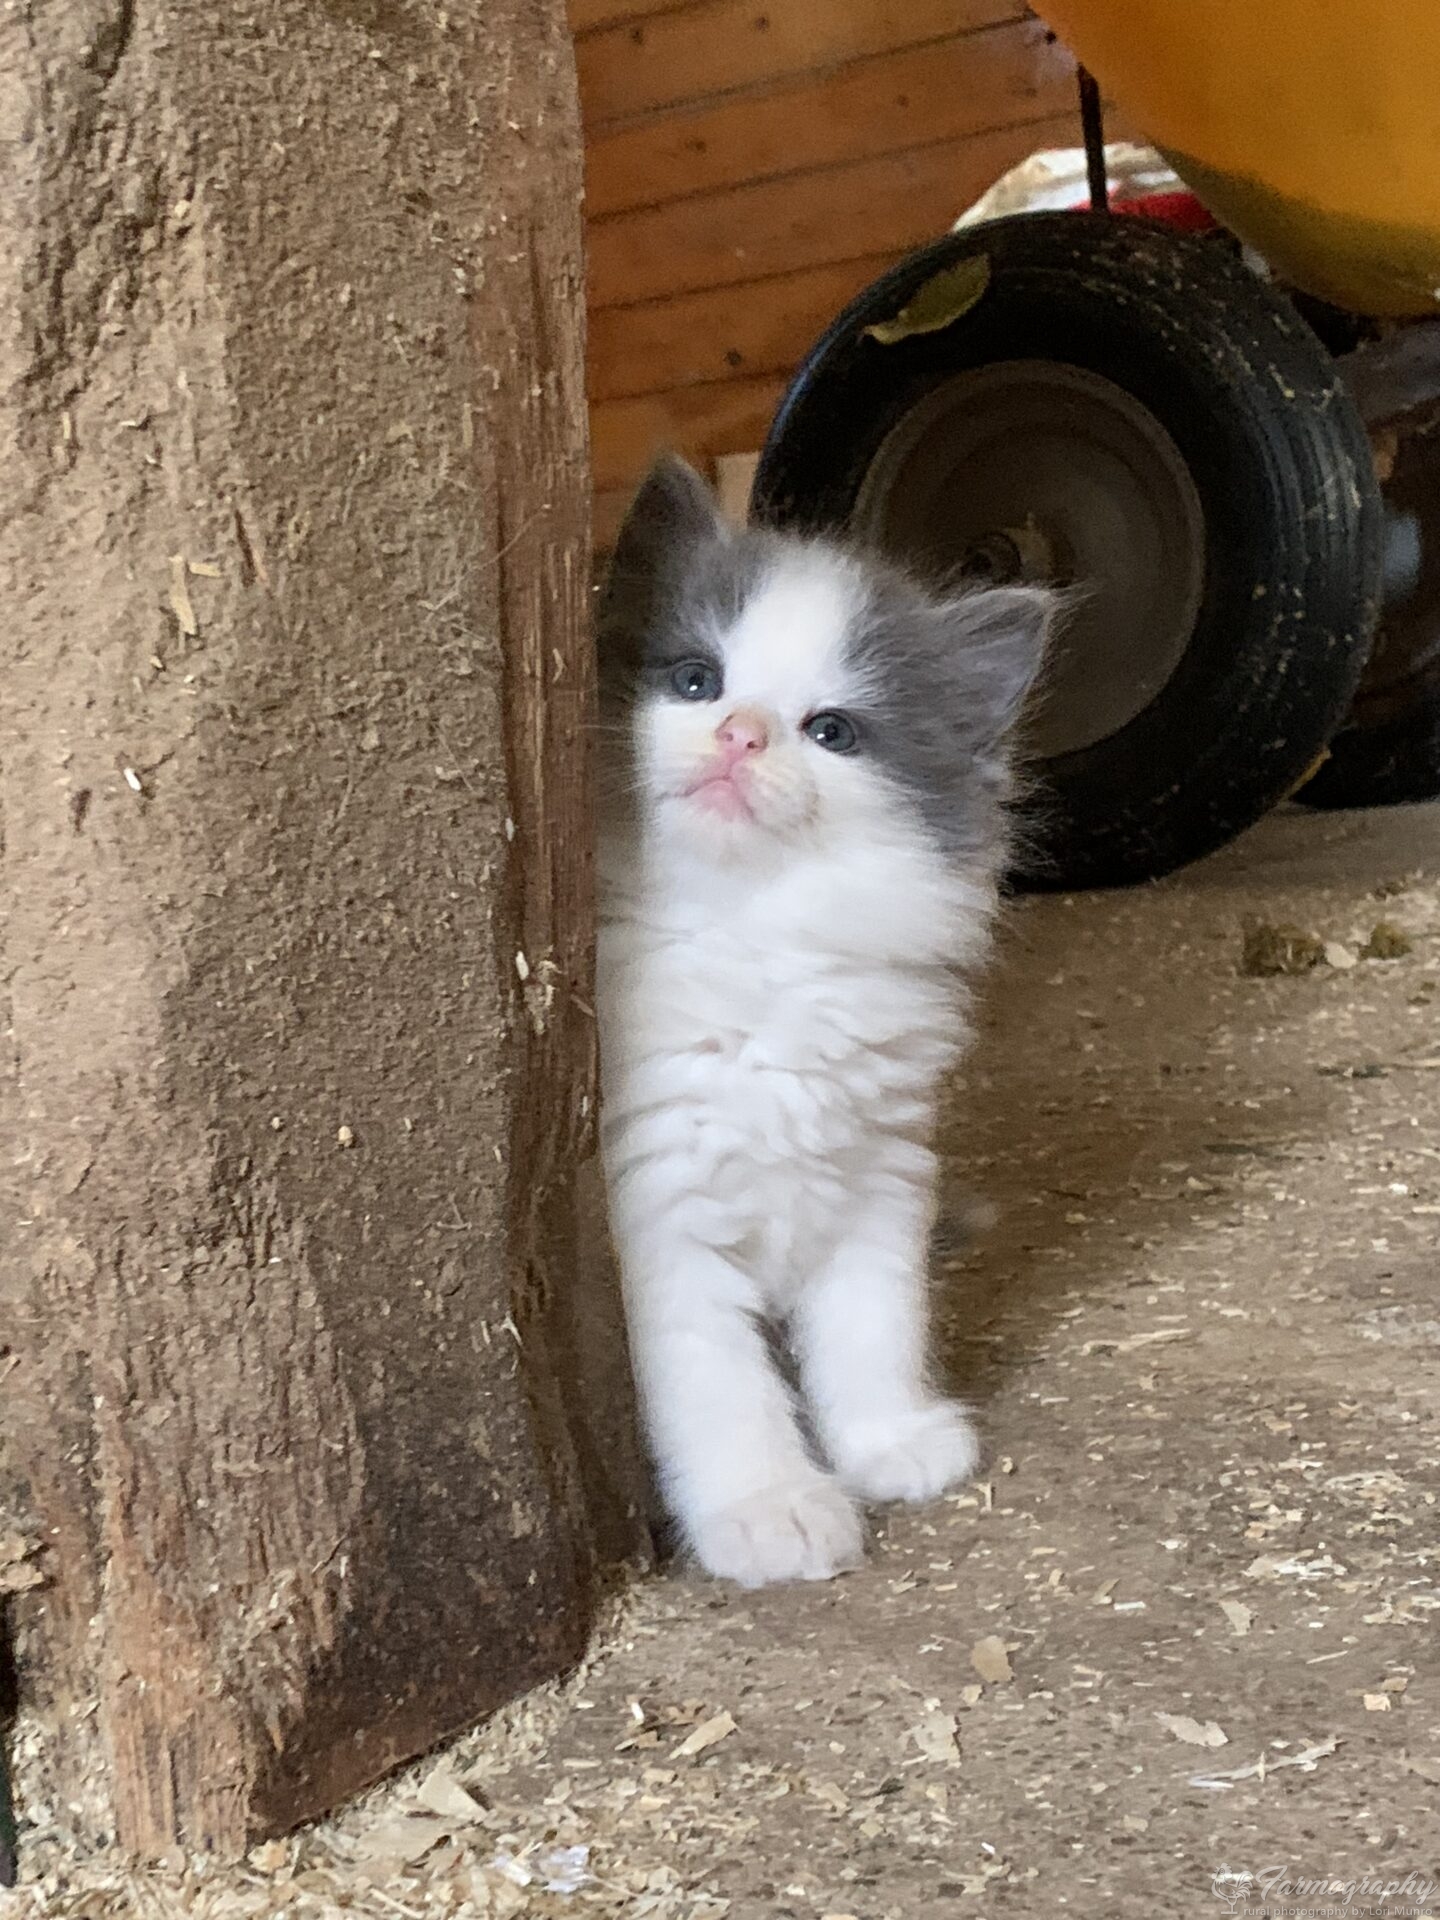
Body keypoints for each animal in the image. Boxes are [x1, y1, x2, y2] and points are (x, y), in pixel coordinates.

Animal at [599, 453, 1059, 1589]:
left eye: (832, 732)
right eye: (695, 682)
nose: (740, 733)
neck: (756, 942)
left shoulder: (882, 1168)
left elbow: (872, 1321)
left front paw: (888, 1439)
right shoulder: (653, 1208)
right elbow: (719, 1384)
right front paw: (772, 1509)